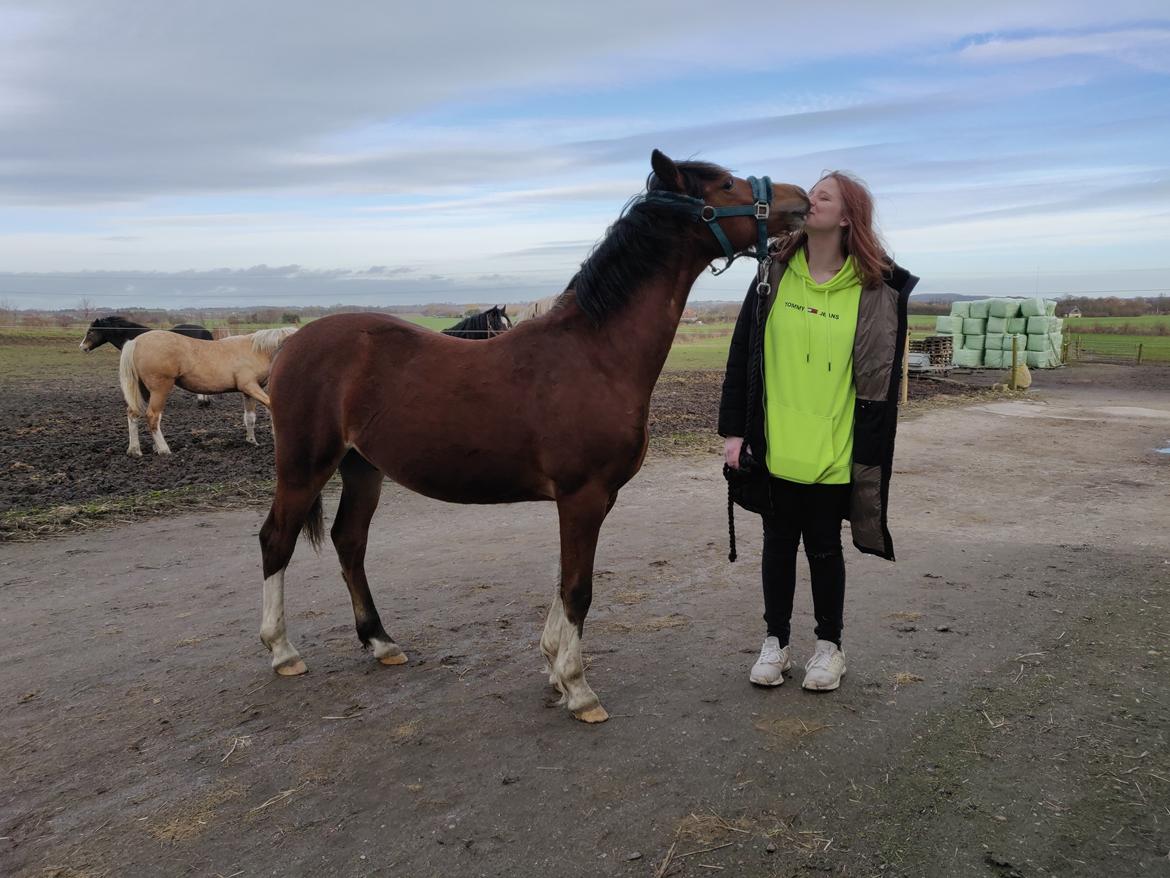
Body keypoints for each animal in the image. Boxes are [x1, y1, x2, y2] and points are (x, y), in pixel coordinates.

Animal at [117, 327, 297, 456]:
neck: (255, 350)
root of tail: (136, 342)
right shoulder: (250, 387)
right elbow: (271, 406)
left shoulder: (248, 391)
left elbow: (250, 418)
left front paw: (252, 441)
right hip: (160, 390)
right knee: (153, 416)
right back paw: (163, 450)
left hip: (143, 391)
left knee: (133, 414)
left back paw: (135, 450)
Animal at [259, 149, 809, 721]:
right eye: (725, 185)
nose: (801, 200)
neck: (596, 352)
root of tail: (289, 343)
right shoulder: (582, 495)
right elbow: (578, 588)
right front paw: (579, 688)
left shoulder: (597, 498)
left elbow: (565, 582)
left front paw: (553, 668)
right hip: (304, 467)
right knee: (276, 541)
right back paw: (283, 651)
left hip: (362, 468)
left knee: (350, 541)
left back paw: (381, 642)